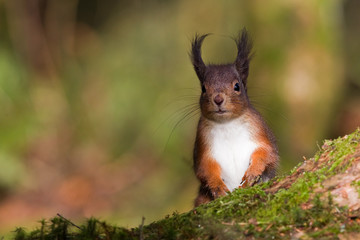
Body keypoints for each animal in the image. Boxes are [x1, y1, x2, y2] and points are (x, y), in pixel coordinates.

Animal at [191, 30, 278, 206]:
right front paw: (217, 186)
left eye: (237, 86)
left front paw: (253, 172)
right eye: (203, 88)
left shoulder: (260, 132)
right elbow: (205, 168)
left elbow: (267, 153)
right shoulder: (203, 144)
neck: (227, 125)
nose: (218, 99)